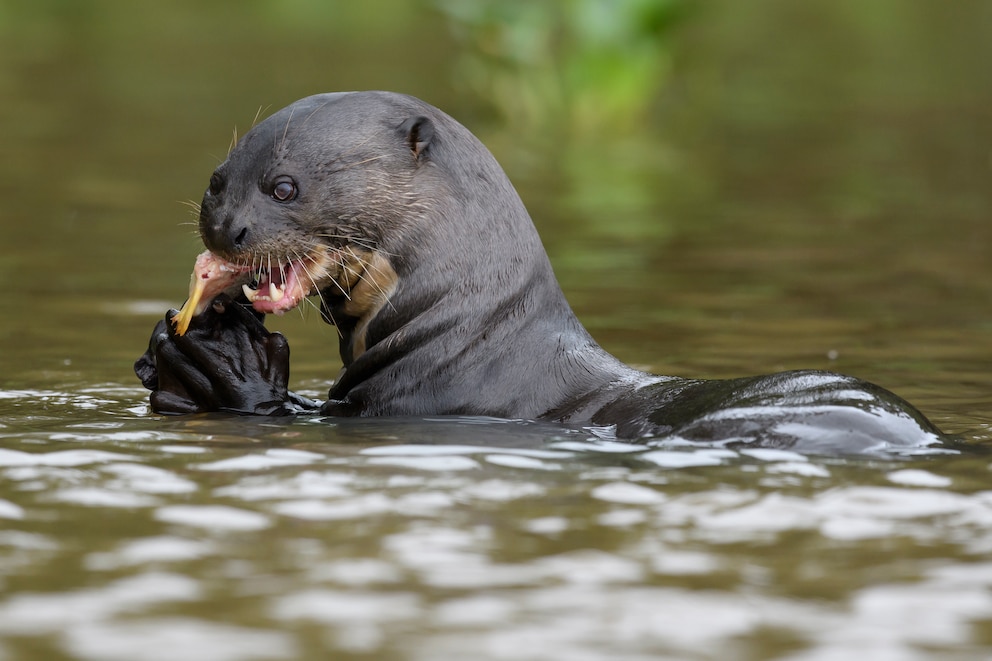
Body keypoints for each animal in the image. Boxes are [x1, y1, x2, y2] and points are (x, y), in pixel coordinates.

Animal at [134, 91, 944, 454]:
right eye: (216, 181)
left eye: (283, 188)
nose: (224, 228)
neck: (462, 336)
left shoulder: (411, 400)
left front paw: (223, 363)